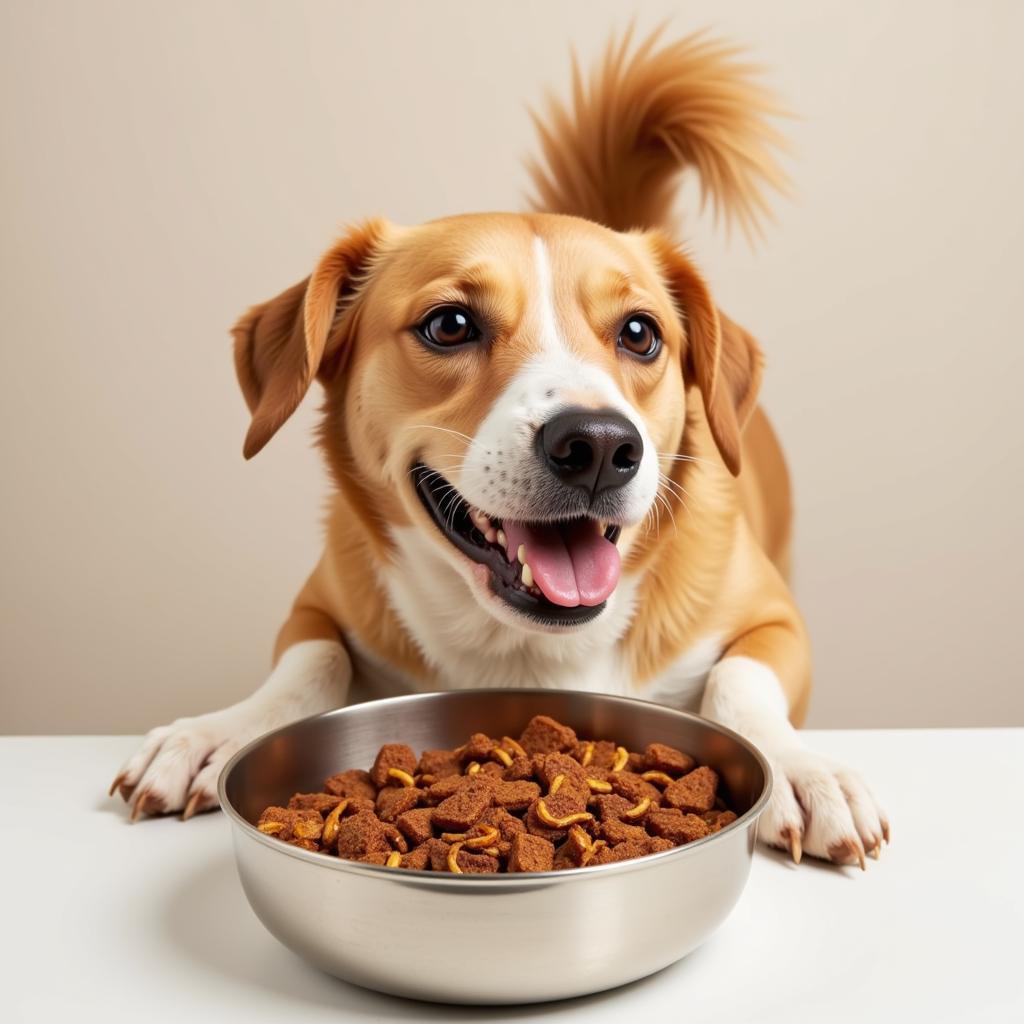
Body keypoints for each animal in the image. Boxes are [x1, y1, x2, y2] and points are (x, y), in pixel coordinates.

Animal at [108, 29, 884, 864]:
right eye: (450, 324)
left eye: (640, 333)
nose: (599, 444)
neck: (526, 648)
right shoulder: (317, 604)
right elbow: (310, 661)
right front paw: (216, 732)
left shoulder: (776, 620)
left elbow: (740, 680)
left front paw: (803, 769)